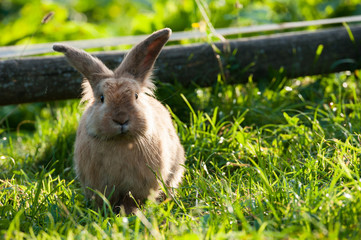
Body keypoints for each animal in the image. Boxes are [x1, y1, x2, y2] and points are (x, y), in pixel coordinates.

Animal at [52, 28, 186, 214]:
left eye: (136, 96)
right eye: (102, 98)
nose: (121, 119)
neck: (120, 141)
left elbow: (132, 201)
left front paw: (130, 213)